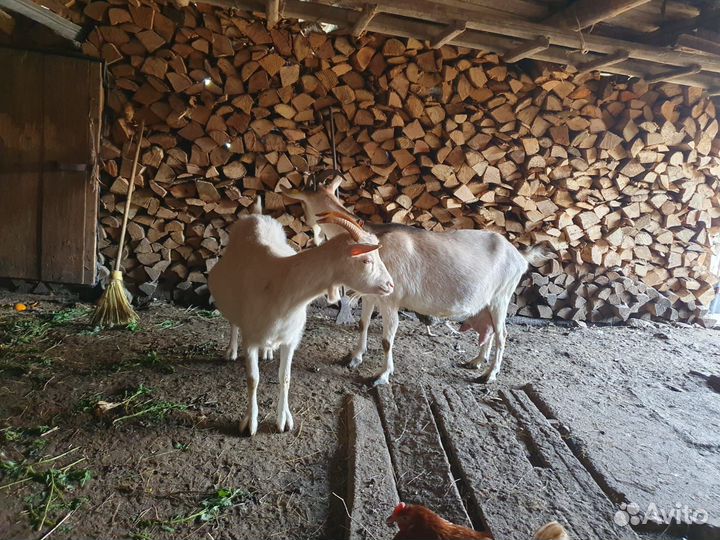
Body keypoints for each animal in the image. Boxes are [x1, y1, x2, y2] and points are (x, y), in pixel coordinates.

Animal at [208, 201, 394, 435]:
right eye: (366, 260)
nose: (390, 285)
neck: (282, 286)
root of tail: (257, 216)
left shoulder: (290, 339)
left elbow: (285, 377)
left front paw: (283, 420)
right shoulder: (250, 340)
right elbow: (253, 379)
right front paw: (250, 422)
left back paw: (267, 352)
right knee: (233, 323)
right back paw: (231, 351)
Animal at [284, 175, 552, 386]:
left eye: (303, 202)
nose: (313, 232)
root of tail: (520, 255)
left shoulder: (390, 299)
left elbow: (386, 339)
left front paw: (381, 376)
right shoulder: (371, 295)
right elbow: (362, 324)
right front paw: (354, 357)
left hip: (501, 298)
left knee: (502, 334)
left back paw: (488, 375)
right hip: (486, 301)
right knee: (488, 330)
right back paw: (475, 361)